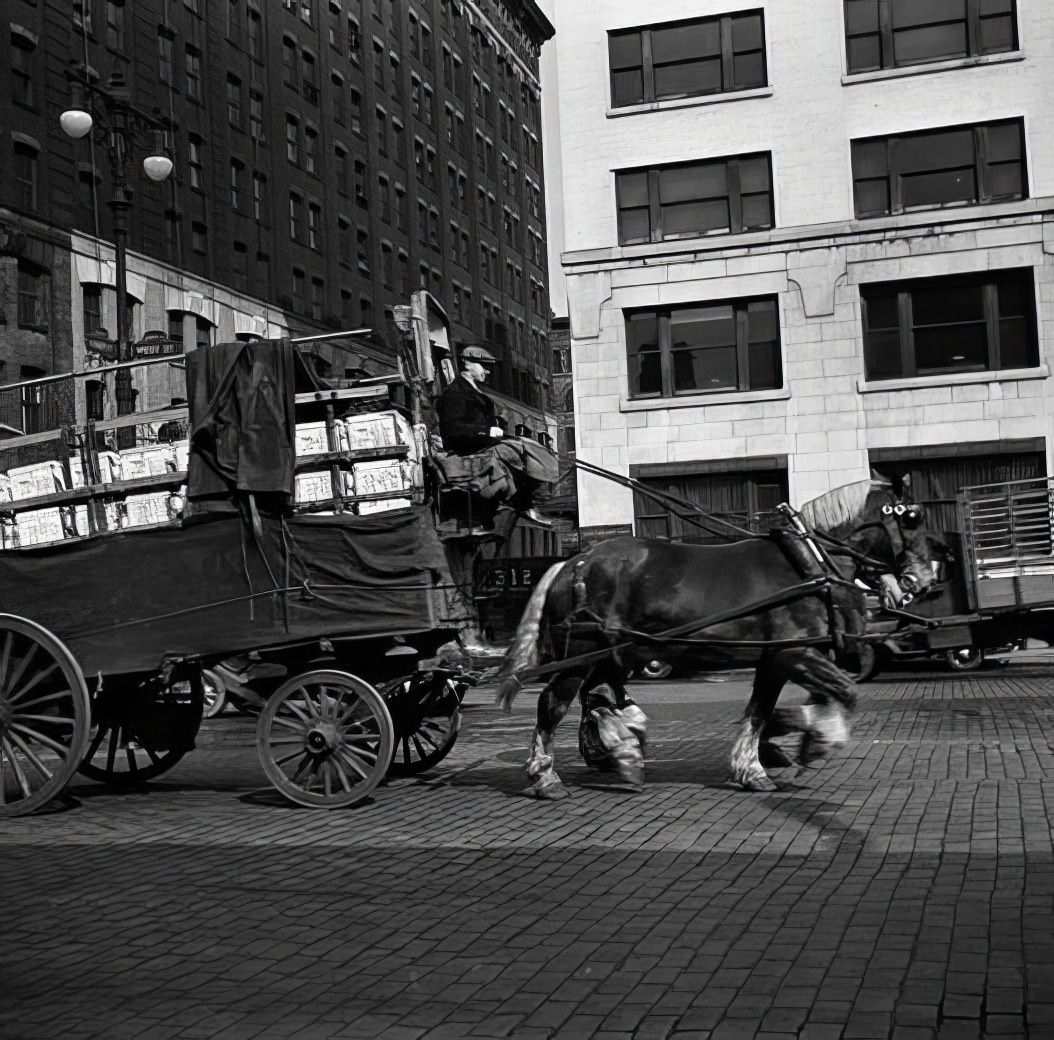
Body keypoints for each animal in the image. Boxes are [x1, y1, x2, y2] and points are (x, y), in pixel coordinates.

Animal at [495, 476, 940, 800]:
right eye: (912, 518)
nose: (925, 578)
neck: (807, 563)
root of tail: (574, 561)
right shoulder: (794, 653)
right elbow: (844, 691)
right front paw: (816, 742)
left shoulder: (775, 658)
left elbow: (762, 709)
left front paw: (756, 763)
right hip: (584, 651)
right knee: (553, 703)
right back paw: (546, 776)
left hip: (617, 651)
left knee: (600, 695)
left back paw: (623, 753)